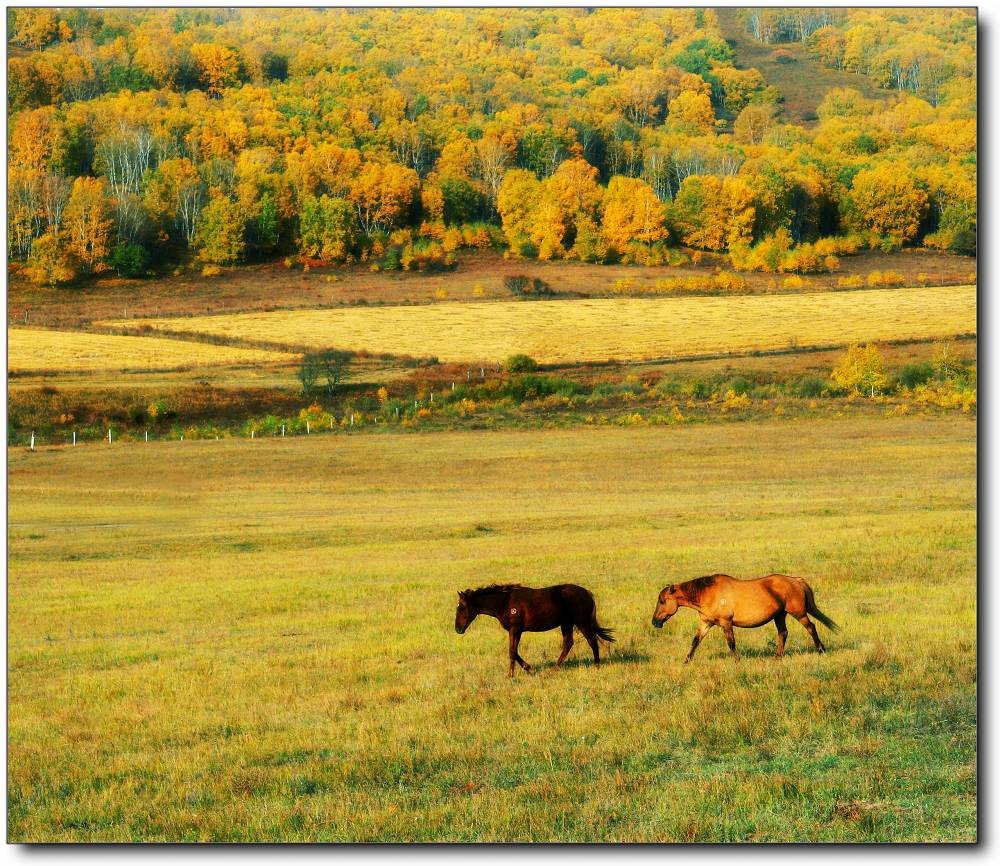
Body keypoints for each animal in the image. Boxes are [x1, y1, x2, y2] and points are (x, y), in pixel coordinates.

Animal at [458, 584, 612, 680]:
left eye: (462, 607)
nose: (458, 629)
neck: (505, 602)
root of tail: (587, 593)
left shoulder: (515, 629)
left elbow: (512, 651)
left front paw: (514, 673)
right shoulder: (515, 630)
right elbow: (513, 651)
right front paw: (525, 669)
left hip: (581, 622)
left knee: (591, 641)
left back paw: (597, 666)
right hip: (566, 624)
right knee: (568, 644)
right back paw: (554, 669)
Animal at [648, 572, 836, 660]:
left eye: (662, 601)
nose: (655, 622)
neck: (708, 594)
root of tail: (795, 580)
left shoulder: (726, 623)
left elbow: (731, 643)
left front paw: (737, 661)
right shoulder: (706, 623)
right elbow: (695, 642)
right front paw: (686, 661)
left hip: (798, 613)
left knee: (811, 627)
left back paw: (821, 650)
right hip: (779, 615)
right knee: (783, 633)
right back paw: (777, 657)